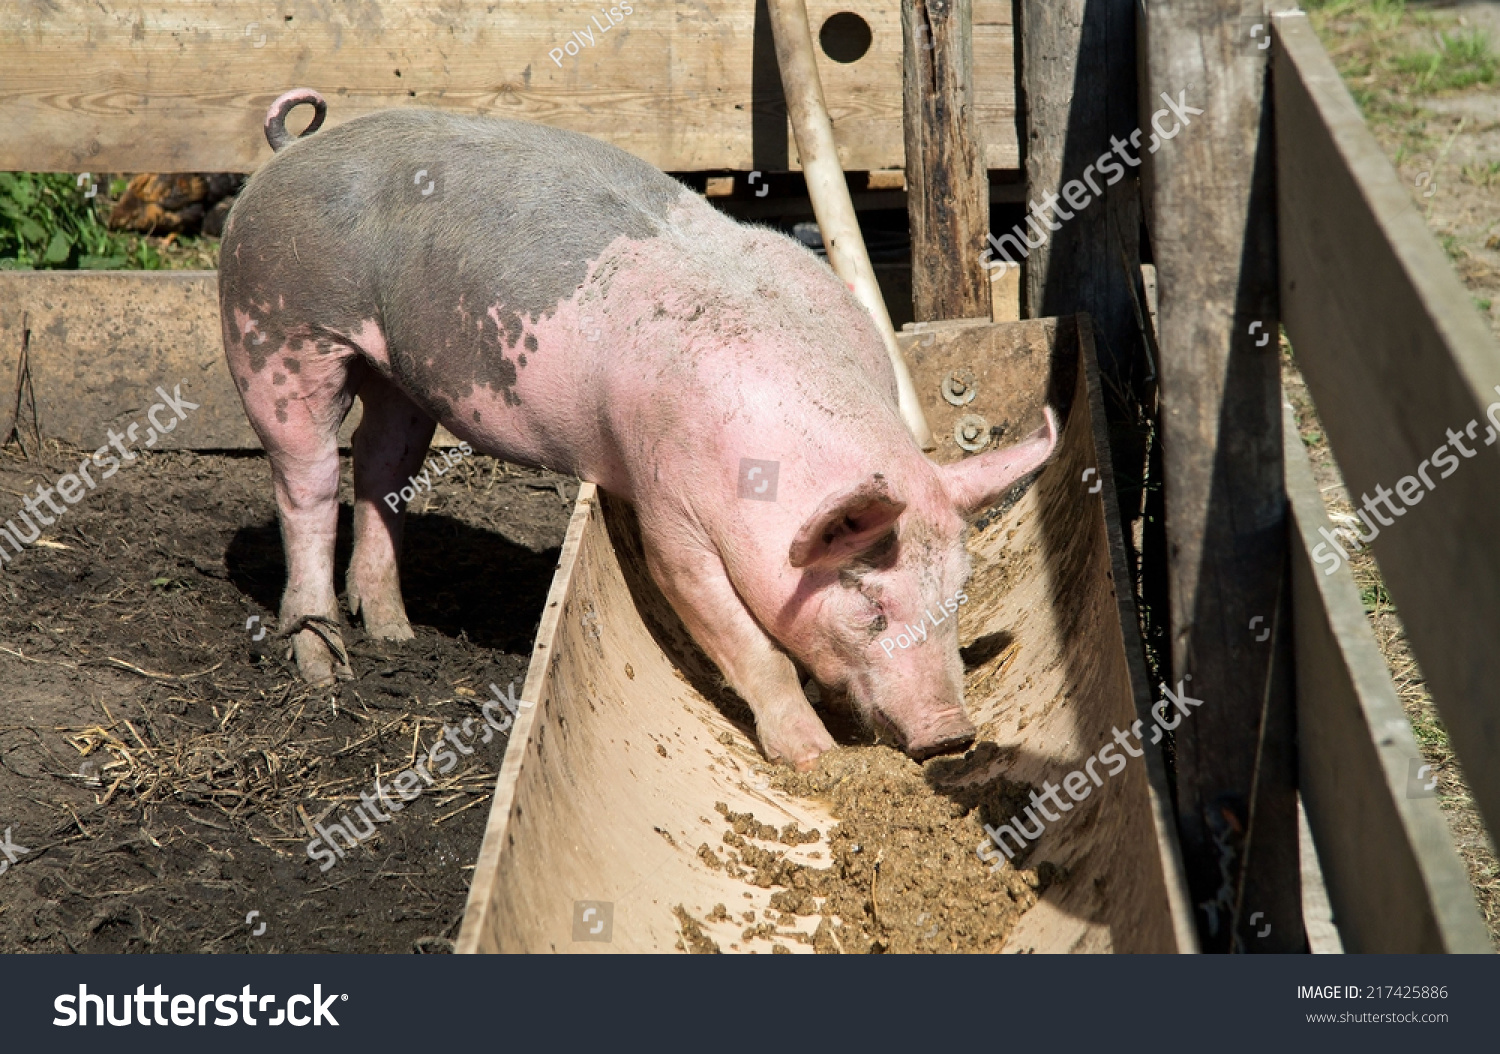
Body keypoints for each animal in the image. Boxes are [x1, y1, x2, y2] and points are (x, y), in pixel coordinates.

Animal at [225, 88, 1056, 767]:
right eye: (872, 604)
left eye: (957, 594)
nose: (953, 734)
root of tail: (287, 152)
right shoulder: (671, 519)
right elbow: (748, 645)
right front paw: (816, 760)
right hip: (275, 328)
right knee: (305, 482)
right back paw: (324, 666)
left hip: (400, 371)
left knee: (382, 463)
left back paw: (395, 632)